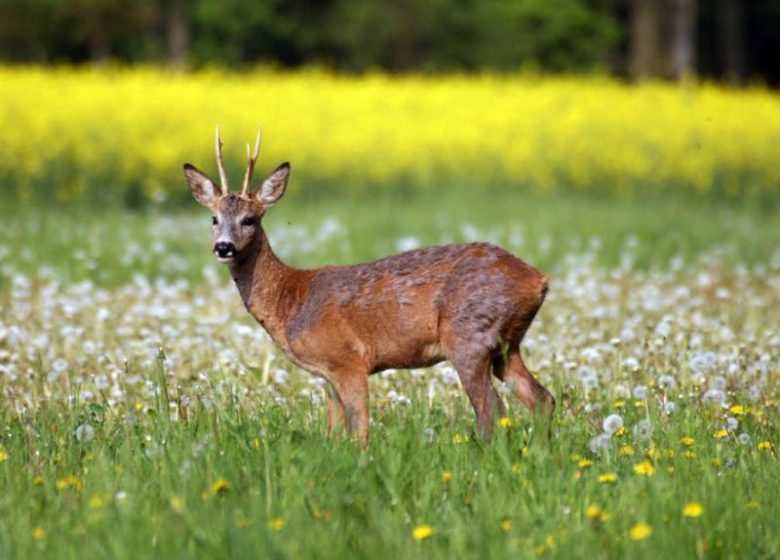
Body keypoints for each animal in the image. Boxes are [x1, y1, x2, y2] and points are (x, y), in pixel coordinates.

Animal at [184, 128, 556, 446]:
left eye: (249, 219)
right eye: (214, 219)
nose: (223, 247)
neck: (290, 301)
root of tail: (538, 278)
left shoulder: (348, 360)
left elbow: (359, 431)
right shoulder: (327, 374)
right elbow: (333, 434)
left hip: (468, 335)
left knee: (492, 413)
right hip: (506, 345)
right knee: (542, 399)